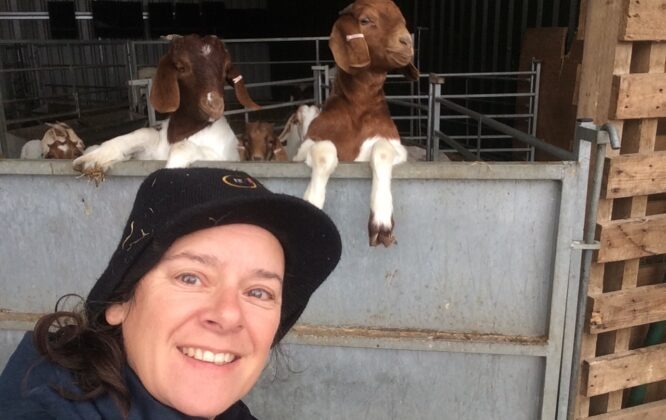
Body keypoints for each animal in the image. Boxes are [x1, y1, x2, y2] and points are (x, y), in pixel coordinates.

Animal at [73, 33, 256, 177]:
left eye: (226, 70)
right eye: (181, 67)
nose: (215, 105)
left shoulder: (222, 158)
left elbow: (181, 148)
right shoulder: (149, 152)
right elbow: (145, 133)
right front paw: (92, 157)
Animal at [294, 0, 418, 248]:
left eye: (403, 20)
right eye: (366, 20)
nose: (406, 42)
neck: (358, 108)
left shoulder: (397, 147)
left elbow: (382, 151)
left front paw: (382, 223)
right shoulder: (304, 148)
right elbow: (324, 151)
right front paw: (312, 203)